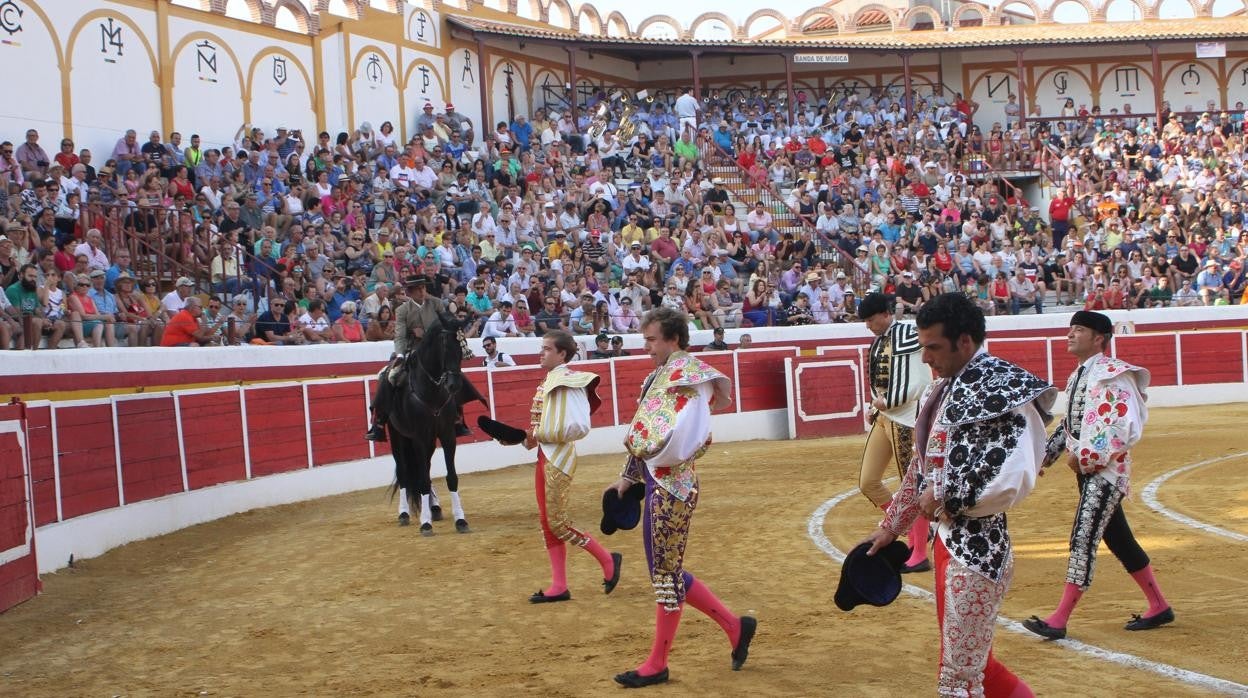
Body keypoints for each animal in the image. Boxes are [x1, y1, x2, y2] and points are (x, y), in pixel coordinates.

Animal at [389, 314, 486, 536]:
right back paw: (404, 514)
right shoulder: (417, 437)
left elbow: (451, 477)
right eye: (445, 347)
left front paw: (461, 520)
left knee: (424, 468)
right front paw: (425, 524)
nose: (454, 385)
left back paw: (434, 508)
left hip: (430, 441)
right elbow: (422, 479)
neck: (431, 391)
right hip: (397, 436)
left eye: (462, 350)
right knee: (404, 472)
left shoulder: (447, 435)